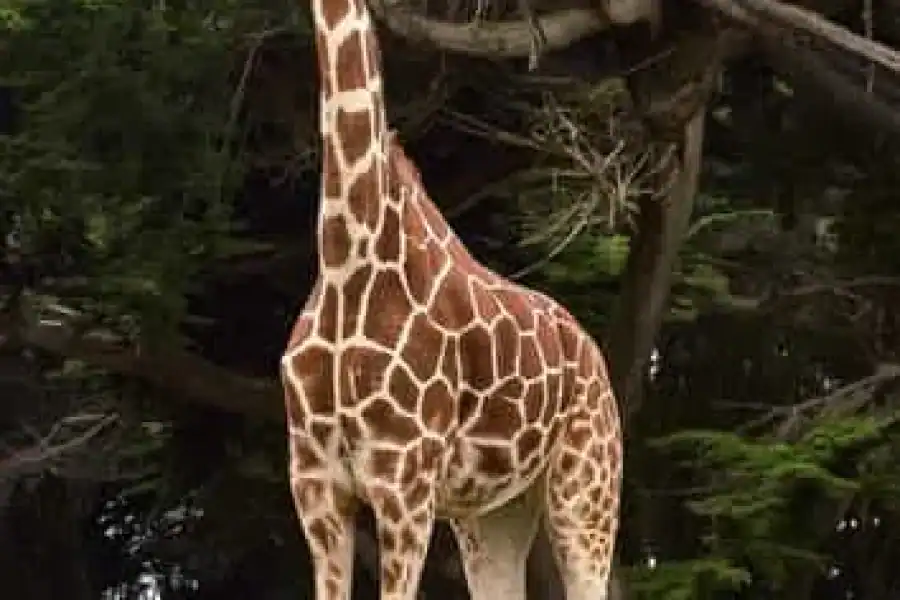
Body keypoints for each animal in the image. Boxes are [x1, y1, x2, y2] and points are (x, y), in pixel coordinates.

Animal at [281, 0, 623, 598]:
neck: (348, 258)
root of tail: (594, 356)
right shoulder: (315, 486)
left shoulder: (404, 486)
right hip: (492, 513)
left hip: (587, 489)